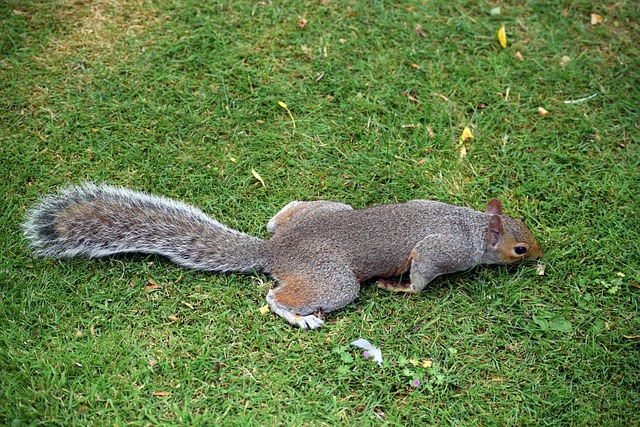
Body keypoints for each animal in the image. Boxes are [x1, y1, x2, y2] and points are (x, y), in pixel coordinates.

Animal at [23, 184, 540, 332]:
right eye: (519, 247)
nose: (540, 253)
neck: (473, 227)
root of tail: (275, 250)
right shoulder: (443, 250)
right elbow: (422, 275)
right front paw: (401, 286)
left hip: (321, 213)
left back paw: (281, 216)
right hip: (333, 282)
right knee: (277, 296)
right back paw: (301, 317)